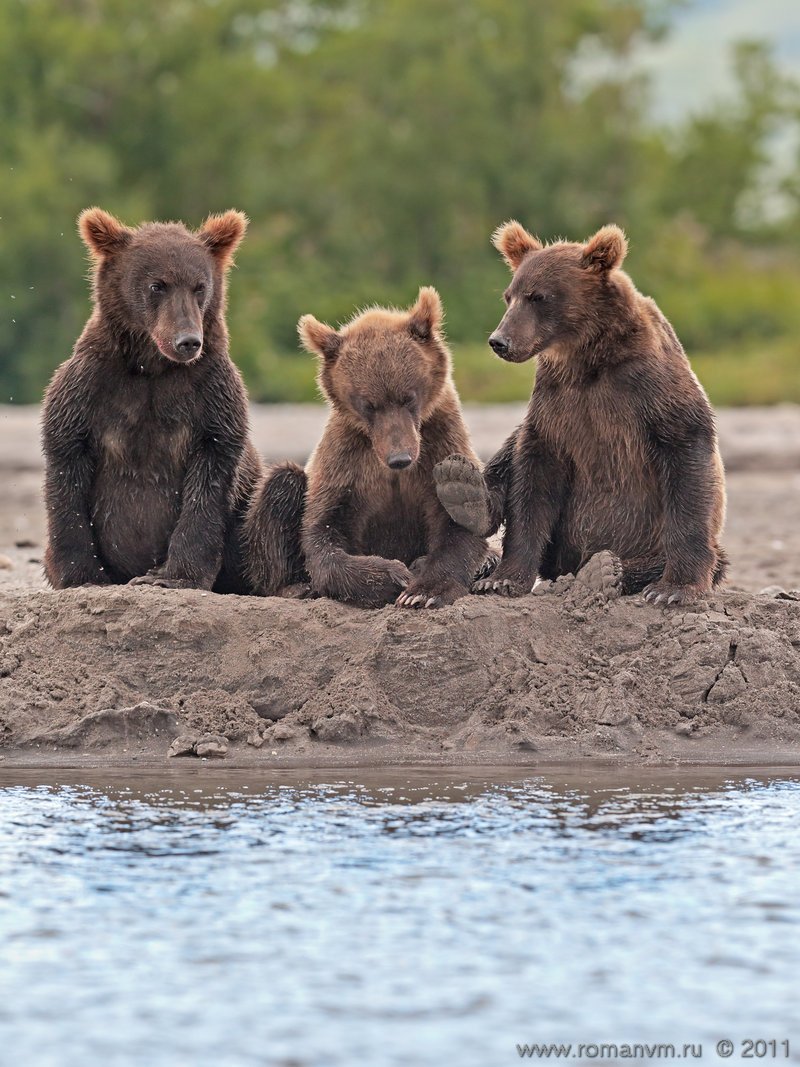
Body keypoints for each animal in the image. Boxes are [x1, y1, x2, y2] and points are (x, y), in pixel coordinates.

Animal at [42, 206, 263, 593]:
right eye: (157, 285)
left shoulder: (210, 395)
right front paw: (80, 574)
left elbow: (208, 480)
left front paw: (172, 575)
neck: (152, 367)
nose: (187, 341)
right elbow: (67, 464)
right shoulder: (90, 387)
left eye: (199, 286)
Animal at [247, 288, 492, 610]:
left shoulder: (439, 441)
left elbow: (457, 524)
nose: (400, 458)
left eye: (408, 397)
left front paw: (423, 591)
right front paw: (393, 575)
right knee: (282, 483)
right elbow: (323, 533)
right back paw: (294, 587)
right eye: (368, 404)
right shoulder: (346, 459)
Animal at [435, 219, 729, 606]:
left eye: (539, 296)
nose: (500, 341)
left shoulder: (650, 387)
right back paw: (463, 489)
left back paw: (605, 569)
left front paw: (674, 589)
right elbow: (532, 479)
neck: (585, 358)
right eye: (509, 296)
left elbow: (688, 462)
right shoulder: (555, 405)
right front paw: (502, 579)